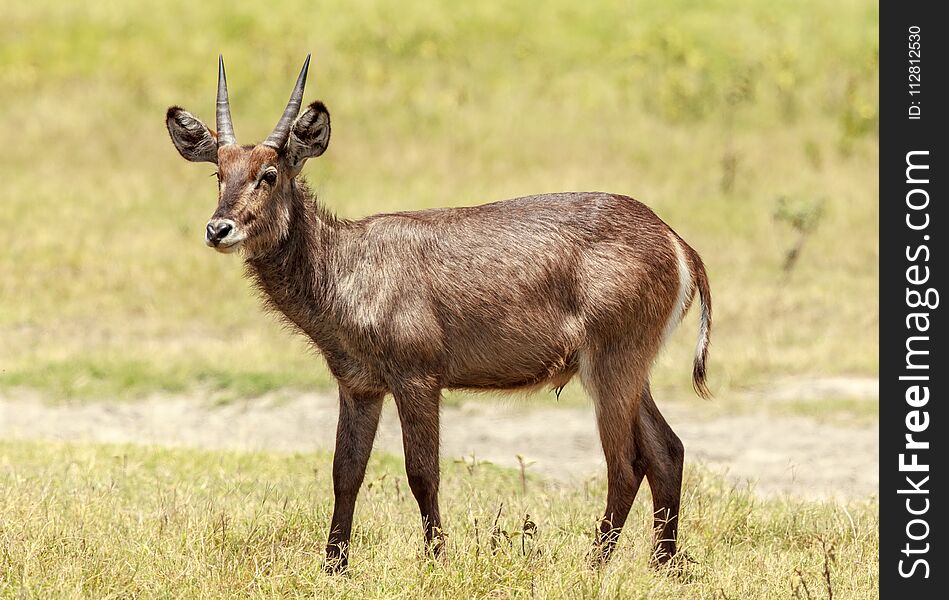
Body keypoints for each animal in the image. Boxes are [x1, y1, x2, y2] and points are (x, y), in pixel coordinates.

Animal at [165, 56, 712, 572]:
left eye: (270, 174)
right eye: (219, 173)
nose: (219, 228)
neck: (347, 266)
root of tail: (676, 241)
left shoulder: (418, 377)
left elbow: (422, 472)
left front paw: (435, 558)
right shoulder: (359, 385)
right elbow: (346, 472)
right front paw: (334, 566)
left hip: (611, 364)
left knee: (625, 465)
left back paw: (594, 563)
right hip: (628, 368)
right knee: (667, 451)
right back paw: (663, 565)